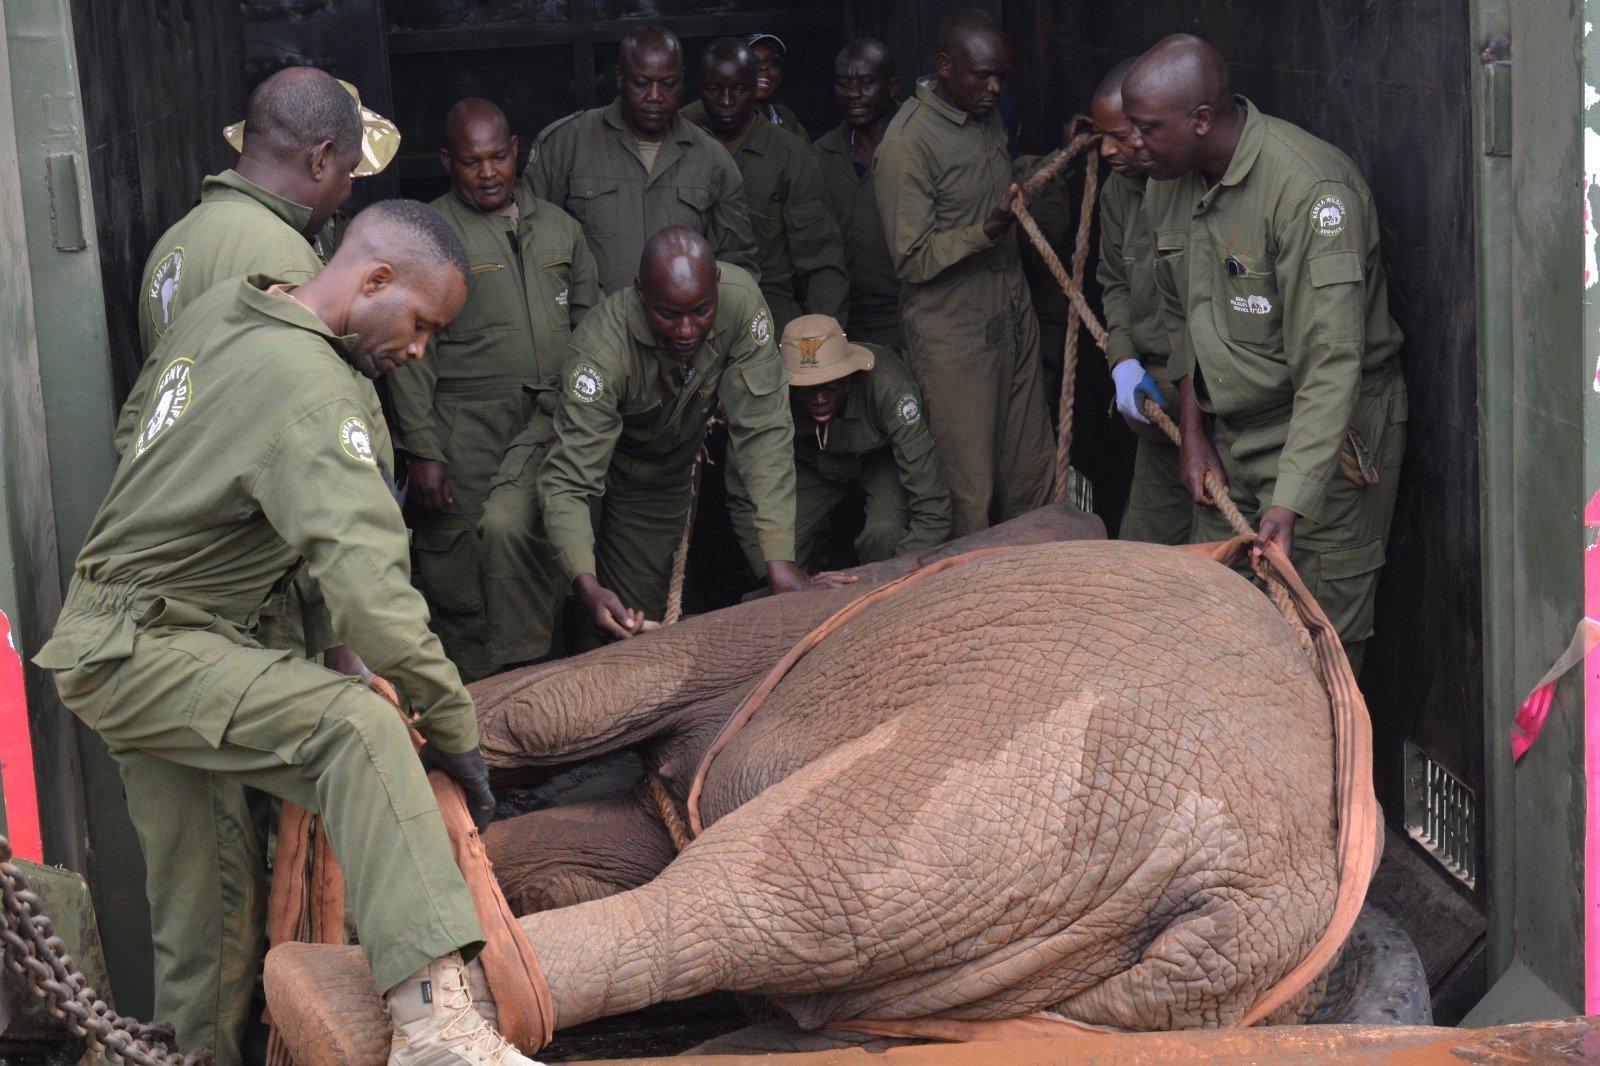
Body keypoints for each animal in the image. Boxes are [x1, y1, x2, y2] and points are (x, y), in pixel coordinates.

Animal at [262, 502, 1376, 1056]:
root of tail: (1267, 886)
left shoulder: (762, 635)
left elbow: (553, 708)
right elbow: (597, 834)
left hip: (1016, 781)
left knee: (764, 894)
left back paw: (347, 1006)